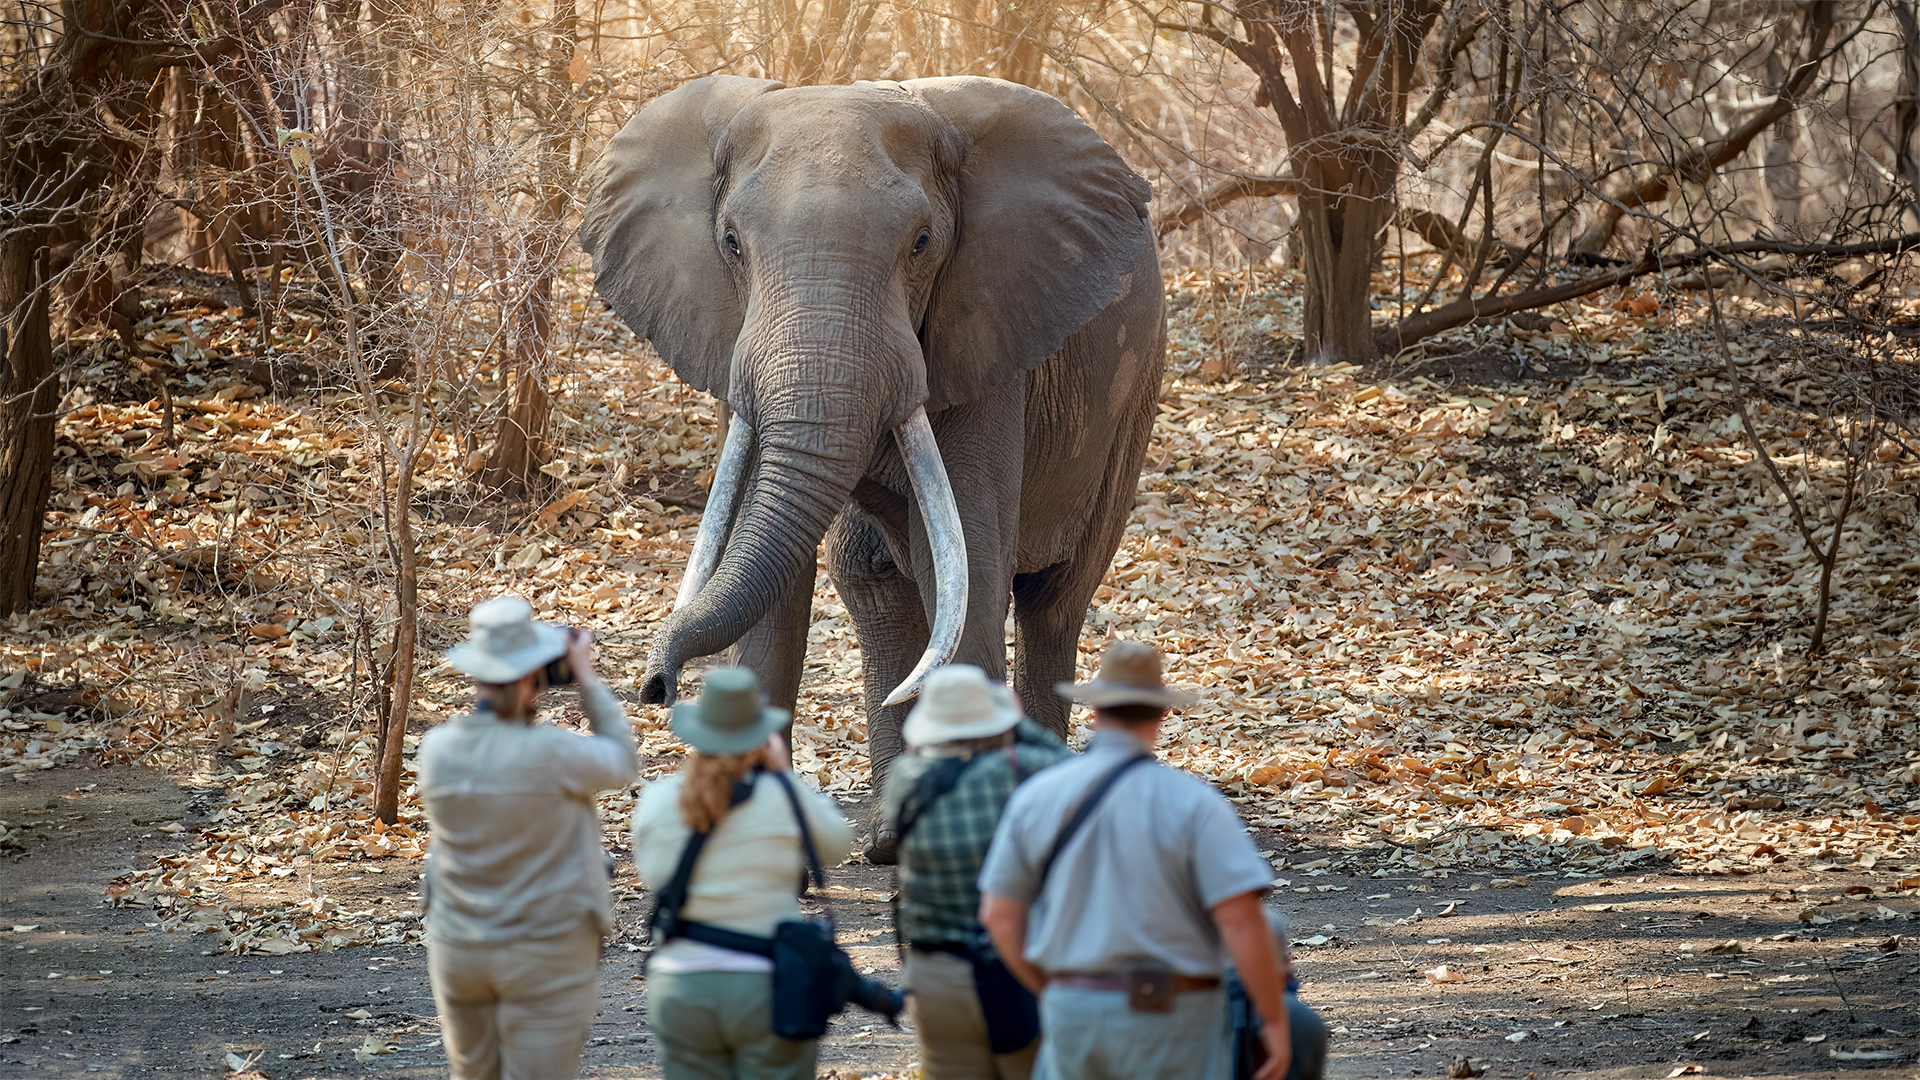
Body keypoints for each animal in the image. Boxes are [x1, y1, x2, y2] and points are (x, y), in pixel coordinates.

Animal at [580, 75, 1166, 849]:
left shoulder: (985, 336)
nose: (655, 686)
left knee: (1052, 602)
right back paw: (890, 835)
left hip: (1133, 399)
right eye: (731, 243)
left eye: (922, 244)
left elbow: (968, 571)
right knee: (877, 581)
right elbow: (773, 589)